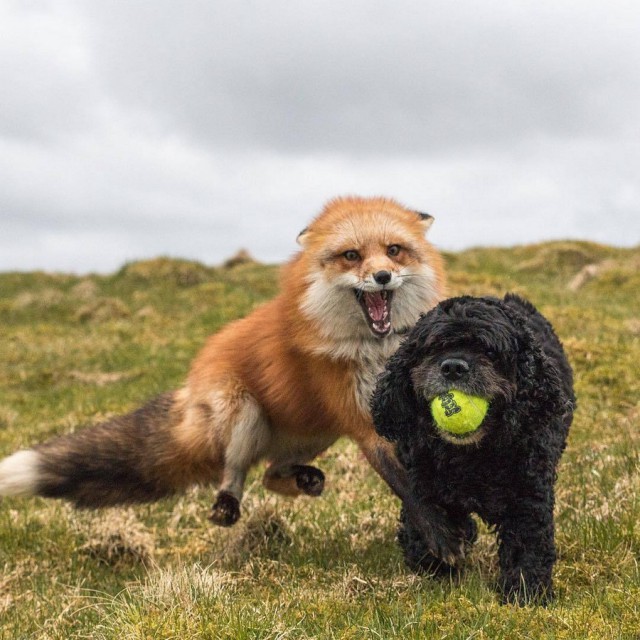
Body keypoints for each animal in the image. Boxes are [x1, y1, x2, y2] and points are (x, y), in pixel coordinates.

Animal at [0, 198, 444, 532]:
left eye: (393, 250)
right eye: (351, 256)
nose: (382, 276)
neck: (374, 350)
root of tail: (192, 383)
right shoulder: (363, 420)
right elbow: (407, 487)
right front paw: (444, 542)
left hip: (319, 428)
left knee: (270, 472)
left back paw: (301, 478)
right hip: (244, 412)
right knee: (237, 468)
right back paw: (227, 504)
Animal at [370, 296, 576, 604]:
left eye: (489, 351)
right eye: (434, 347)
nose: (453, 367)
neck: (471, 457)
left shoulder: (529, 493)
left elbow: (528, 543)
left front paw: (526, 593)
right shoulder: (423, 481)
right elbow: (426, 518)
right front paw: (437, 559)